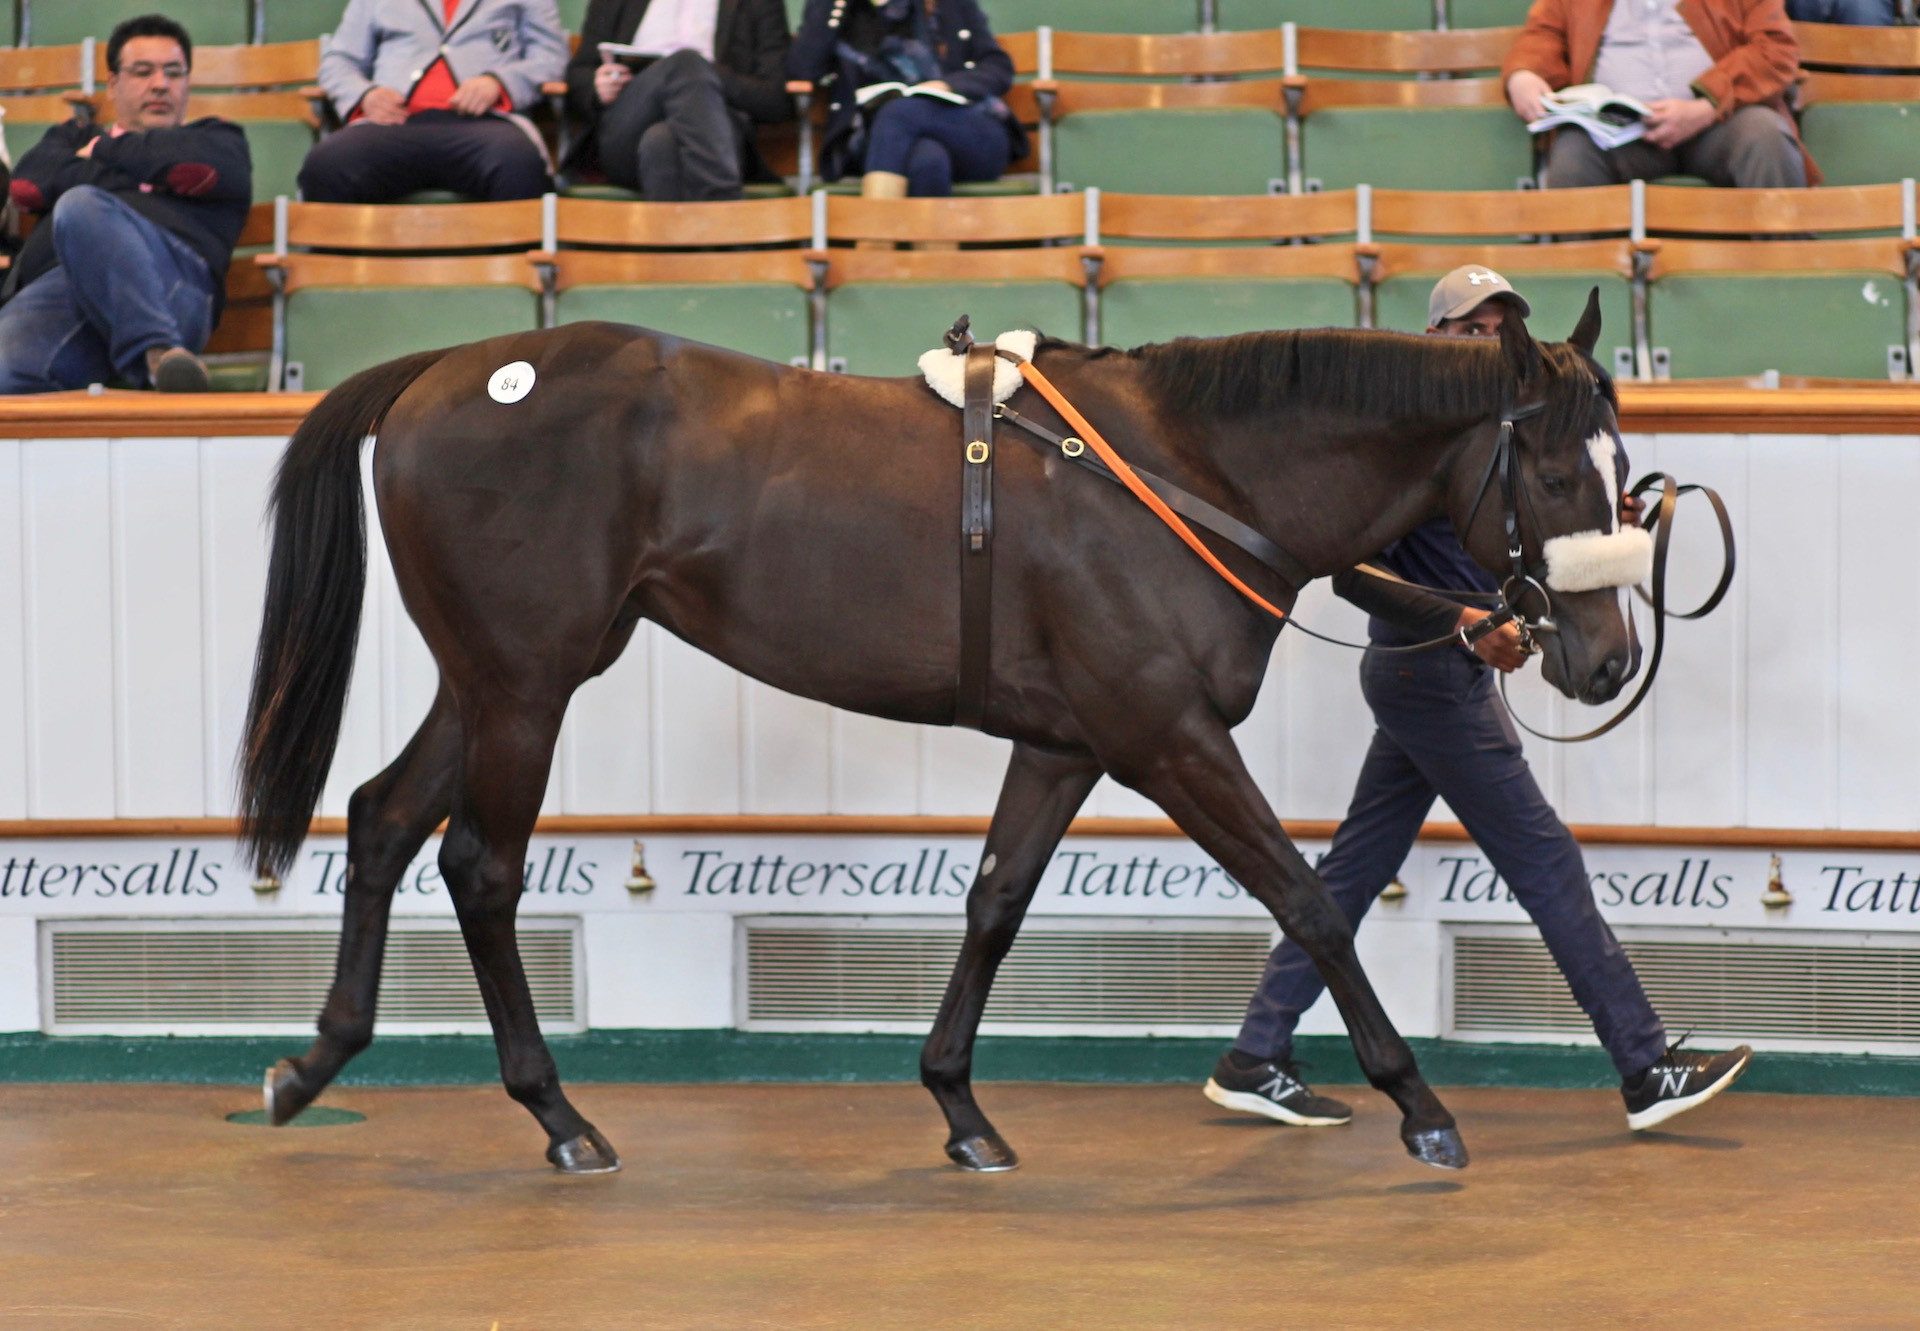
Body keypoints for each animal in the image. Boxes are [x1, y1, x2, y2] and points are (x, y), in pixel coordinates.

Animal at [240, 290, 1643, 1175]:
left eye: (1625, 475)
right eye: (1558, 473)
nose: (1607, 656)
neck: (1188, 474)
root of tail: (442, 372)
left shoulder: (1070, 741)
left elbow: (996, 897)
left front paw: (961, 1104)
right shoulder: (1164, 733)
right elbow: (1306, 900)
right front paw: (1421, 1103)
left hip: (493, 677)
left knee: (381, 818)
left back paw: (314, 1063)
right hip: (527, 684)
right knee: (480, 866)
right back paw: (557, 1114)